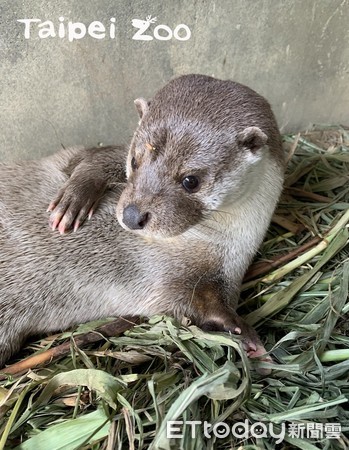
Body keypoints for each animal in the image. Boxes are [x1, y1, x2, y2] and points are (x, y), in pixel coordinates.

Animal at [0, 74, 282, 370]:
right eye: (135, 160)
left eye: (190, 181)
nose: (132, 216)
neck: (206, 238)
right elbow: (92, 158)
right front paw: (76, 196)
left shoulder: (220, 273)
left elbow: (201, 306)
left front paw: (246, 335)